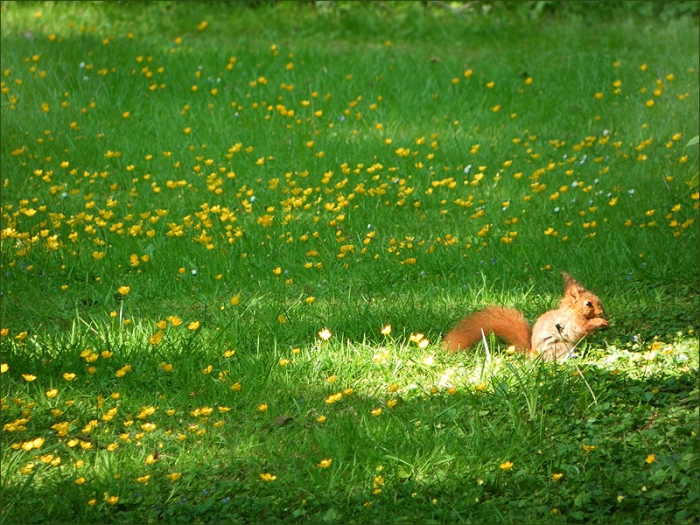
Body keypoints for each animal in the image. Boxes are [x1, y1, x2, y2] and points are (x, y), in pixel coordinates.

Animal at [442, 272, 608, 361]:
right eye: (588, 303)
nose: (601, 312)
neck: (571, 311)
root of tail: (532, 354)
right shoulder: (570, 322)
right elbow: (580, 329)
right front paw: (599, 321)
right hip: (560, 346)